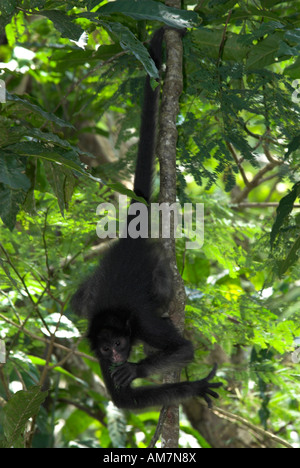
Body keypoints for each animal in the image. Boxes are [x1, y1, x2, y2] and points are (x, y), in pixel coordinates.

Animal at [71, 29, 221, 410]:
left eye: (119, 344)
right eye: (106, 348)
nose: (116, 357)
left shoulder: (142, 324)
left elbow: (183, 348)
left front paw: (138, 369)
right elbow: (124, 400)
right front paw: (192, 388)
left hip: (159, 270)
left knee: (164, 288)